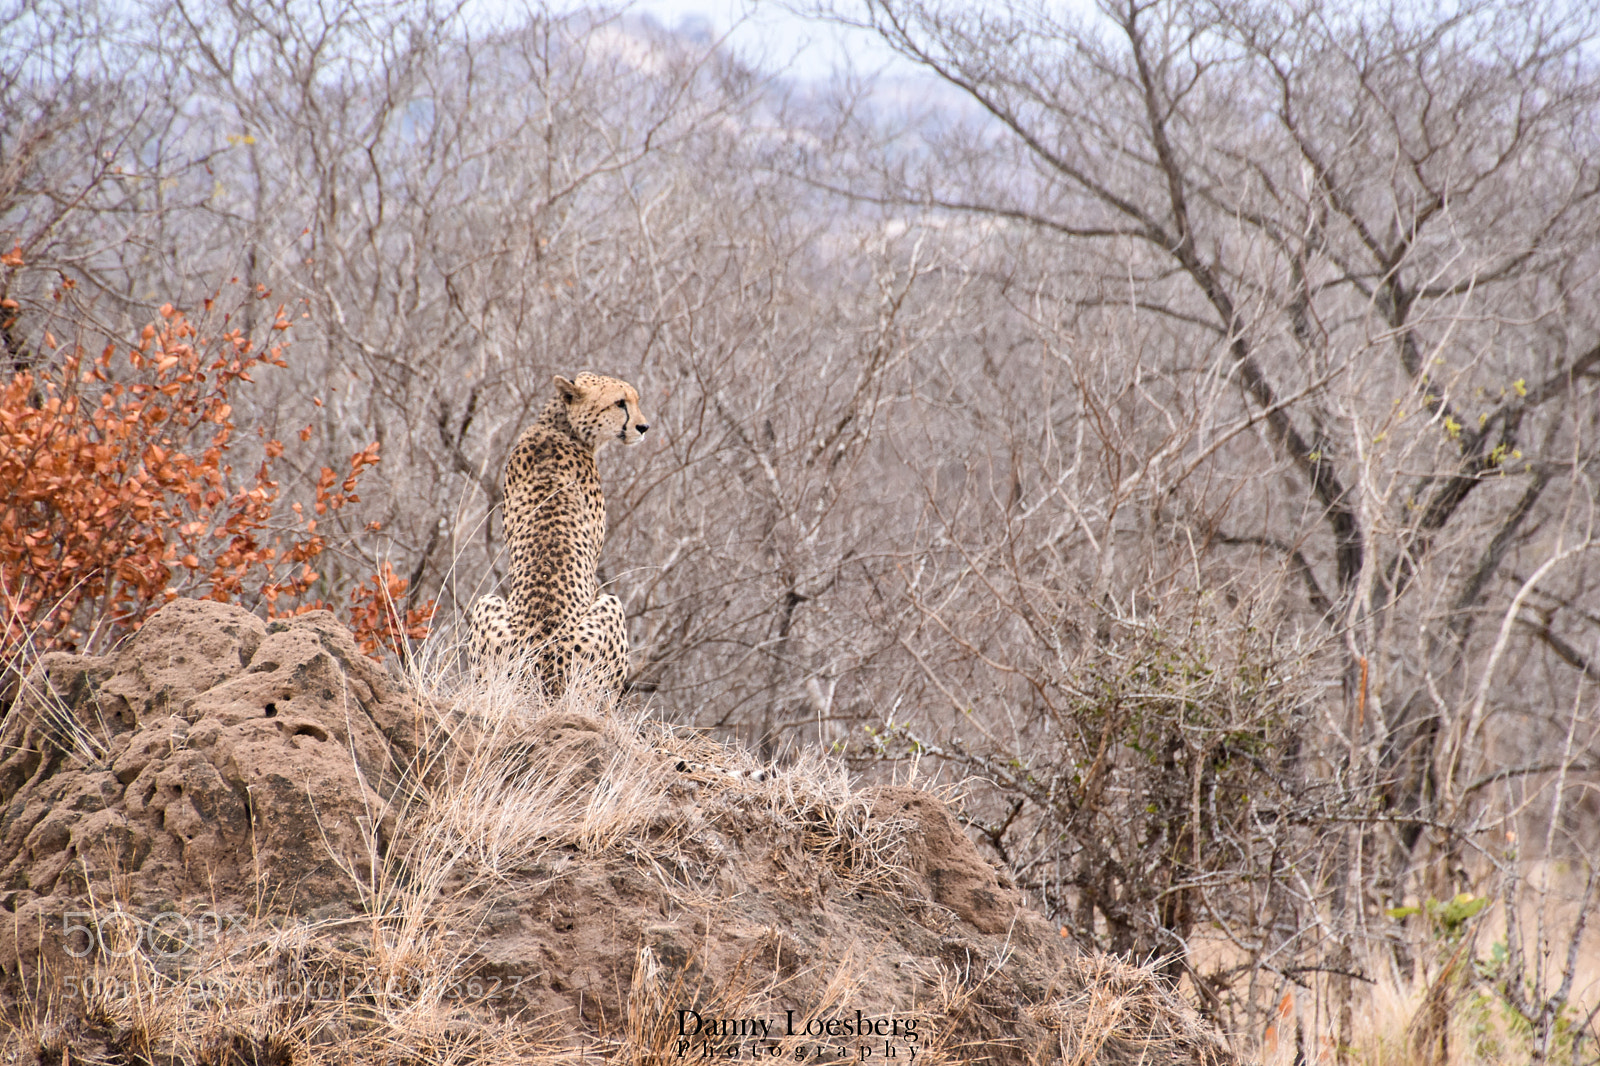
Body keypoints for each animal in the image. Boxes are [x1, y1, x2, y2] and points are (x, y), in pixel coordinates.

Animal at [468, 372, 648, 697]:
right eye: (620, 403)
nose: (643, 427)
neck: (559, 426)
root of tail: (544, 663)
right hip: (610, 610)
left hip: (486, 622)